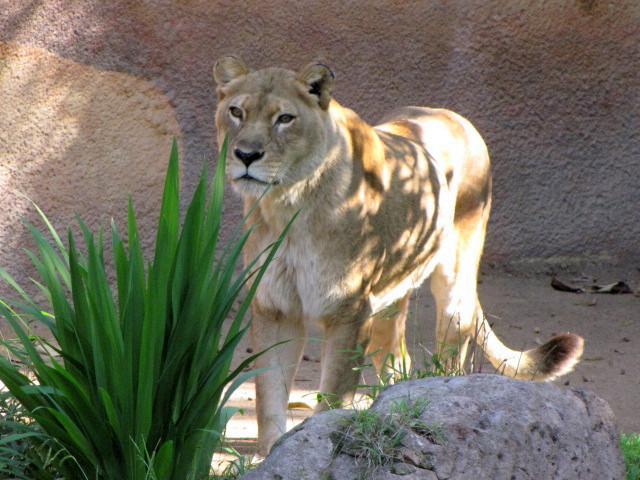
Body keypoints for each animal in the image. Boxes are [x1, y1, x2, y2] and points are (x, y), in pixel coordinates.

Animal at [213, 56, 584, 456]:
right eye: (236, 112)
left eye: (285, 118)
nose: (246, 155)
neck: (288, 206)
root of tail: (452, 115)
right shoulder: (275, 307)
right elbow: (268, 394)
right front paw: (271, 453)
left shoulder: (348, 311)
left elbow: (333, 394)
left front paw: (315, 442)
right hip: (385, 303)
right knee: (398, 361)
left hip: (453, 283)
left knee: (451, 355)